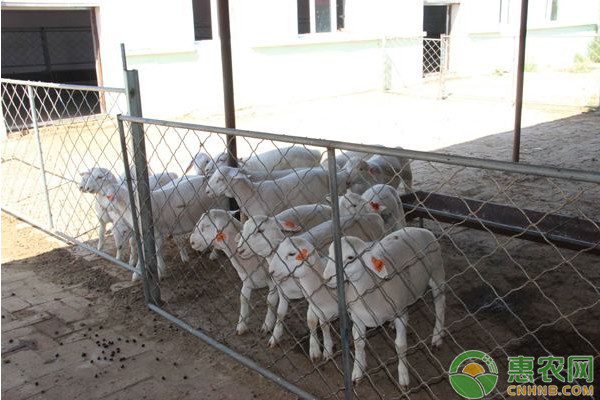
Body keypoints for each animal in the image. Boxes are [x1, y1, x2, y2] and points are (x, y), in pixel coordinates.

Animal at [324, 228, 446, 388]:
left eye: (350, 257)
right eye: (330, 253)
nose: (326, 278)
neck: (370, 285)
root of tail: (421, 229)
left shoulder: (400, 312)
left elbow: (400, 345)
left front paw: (403, 377)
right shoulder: (357, 317)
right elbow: (358, 343)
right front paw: (357, 372)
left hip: (437, 272)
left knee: (440, 304)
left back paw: (437, 336)